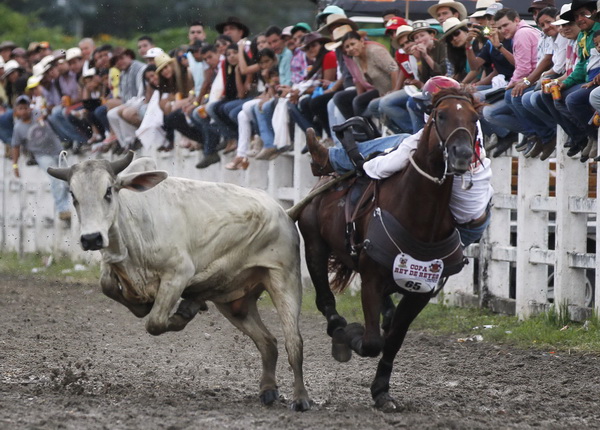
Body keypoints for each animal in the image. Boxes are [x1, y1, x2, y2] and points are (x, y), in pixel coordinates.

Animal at [48, 151, 310, 410]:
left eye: (108, 191)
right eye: (73, 195)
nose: (91, 238)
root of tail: (284, 212)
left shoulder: (178, 274)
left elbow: (154, 323)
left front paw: (180, 315)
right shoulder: (113, 265)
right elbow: (108, 285)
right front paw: (162, 306)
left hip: (284, 279)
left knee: (293, 342)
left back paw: (300, 398)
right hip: (234, 302)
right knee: (268, 342)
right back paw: (268, 389)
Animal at [298, 88, 480, 414]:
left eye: (474, 118)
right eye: (441, 115)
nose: (461, 154)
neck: (419, 214)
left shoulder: (420, 290)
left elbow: (393, 340)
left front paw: (382, 391)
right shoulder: (371, 280)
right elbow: (372, 341)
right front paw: (353, 335)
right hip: (315, 245)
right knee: (325, 301)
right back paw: (339, 330)